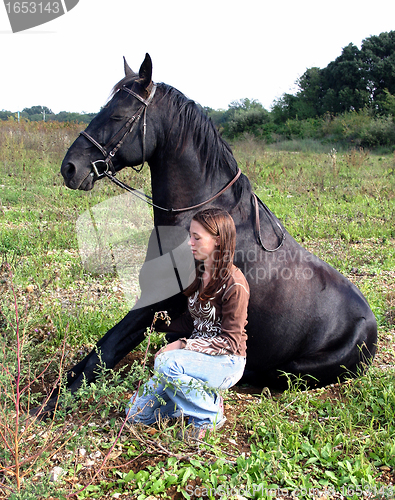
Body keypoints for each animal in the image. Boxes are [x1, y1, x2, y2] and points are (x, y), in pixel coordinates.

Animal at [60, 52, 378, 392]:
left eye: (118, 116)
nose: (70, 167)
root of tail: (371, 331)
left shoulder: (155, 301)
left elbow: (102, 354)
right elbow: (99, 352)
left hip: (296, 370)